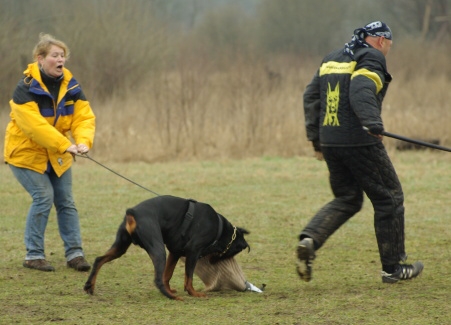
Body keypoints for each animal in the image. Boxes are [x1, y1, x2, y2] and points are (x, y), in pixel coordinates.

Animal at [84, 194, 251, 300]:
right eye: (235, 252)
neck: (219, 229)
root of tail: (133, 213)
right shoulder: (193, 251)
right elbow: (188, 277)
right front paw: (193, 293)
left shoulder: (174, 252)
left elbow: (168, 274)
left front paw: (171, 288)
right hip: (158, 249)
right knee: (157, 279)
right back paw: (172, 297)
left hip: (121, 246)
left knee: (99, 260)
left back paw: (89, 286)